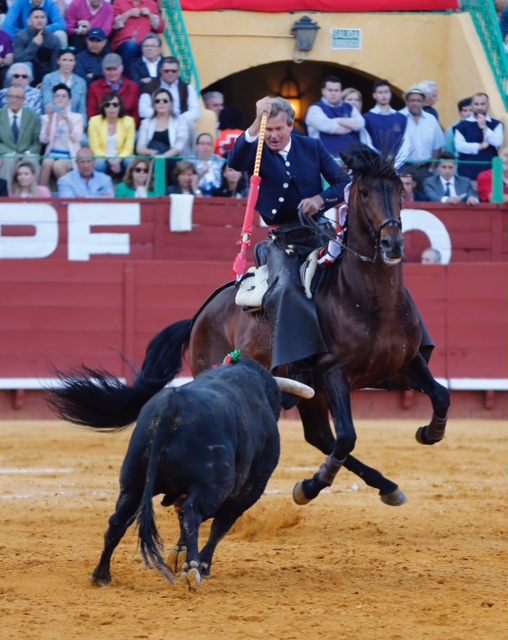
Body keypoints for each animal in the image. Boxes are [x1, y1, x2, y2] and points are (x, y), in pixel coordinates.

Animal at [49, 146, 450, 507]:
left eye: (399, 191)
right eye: (364, 192)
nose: (392, 244)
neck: (371, 300)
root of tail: (201, 314)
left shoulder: (406, 362)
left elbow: (441, 395)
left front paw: (429, 432)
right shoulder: (334, 373)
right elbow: (348, 436)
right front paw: (315, 481)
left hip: (311, 391)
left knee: (320, 437)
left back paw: (381, 486)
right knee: (319, 437)